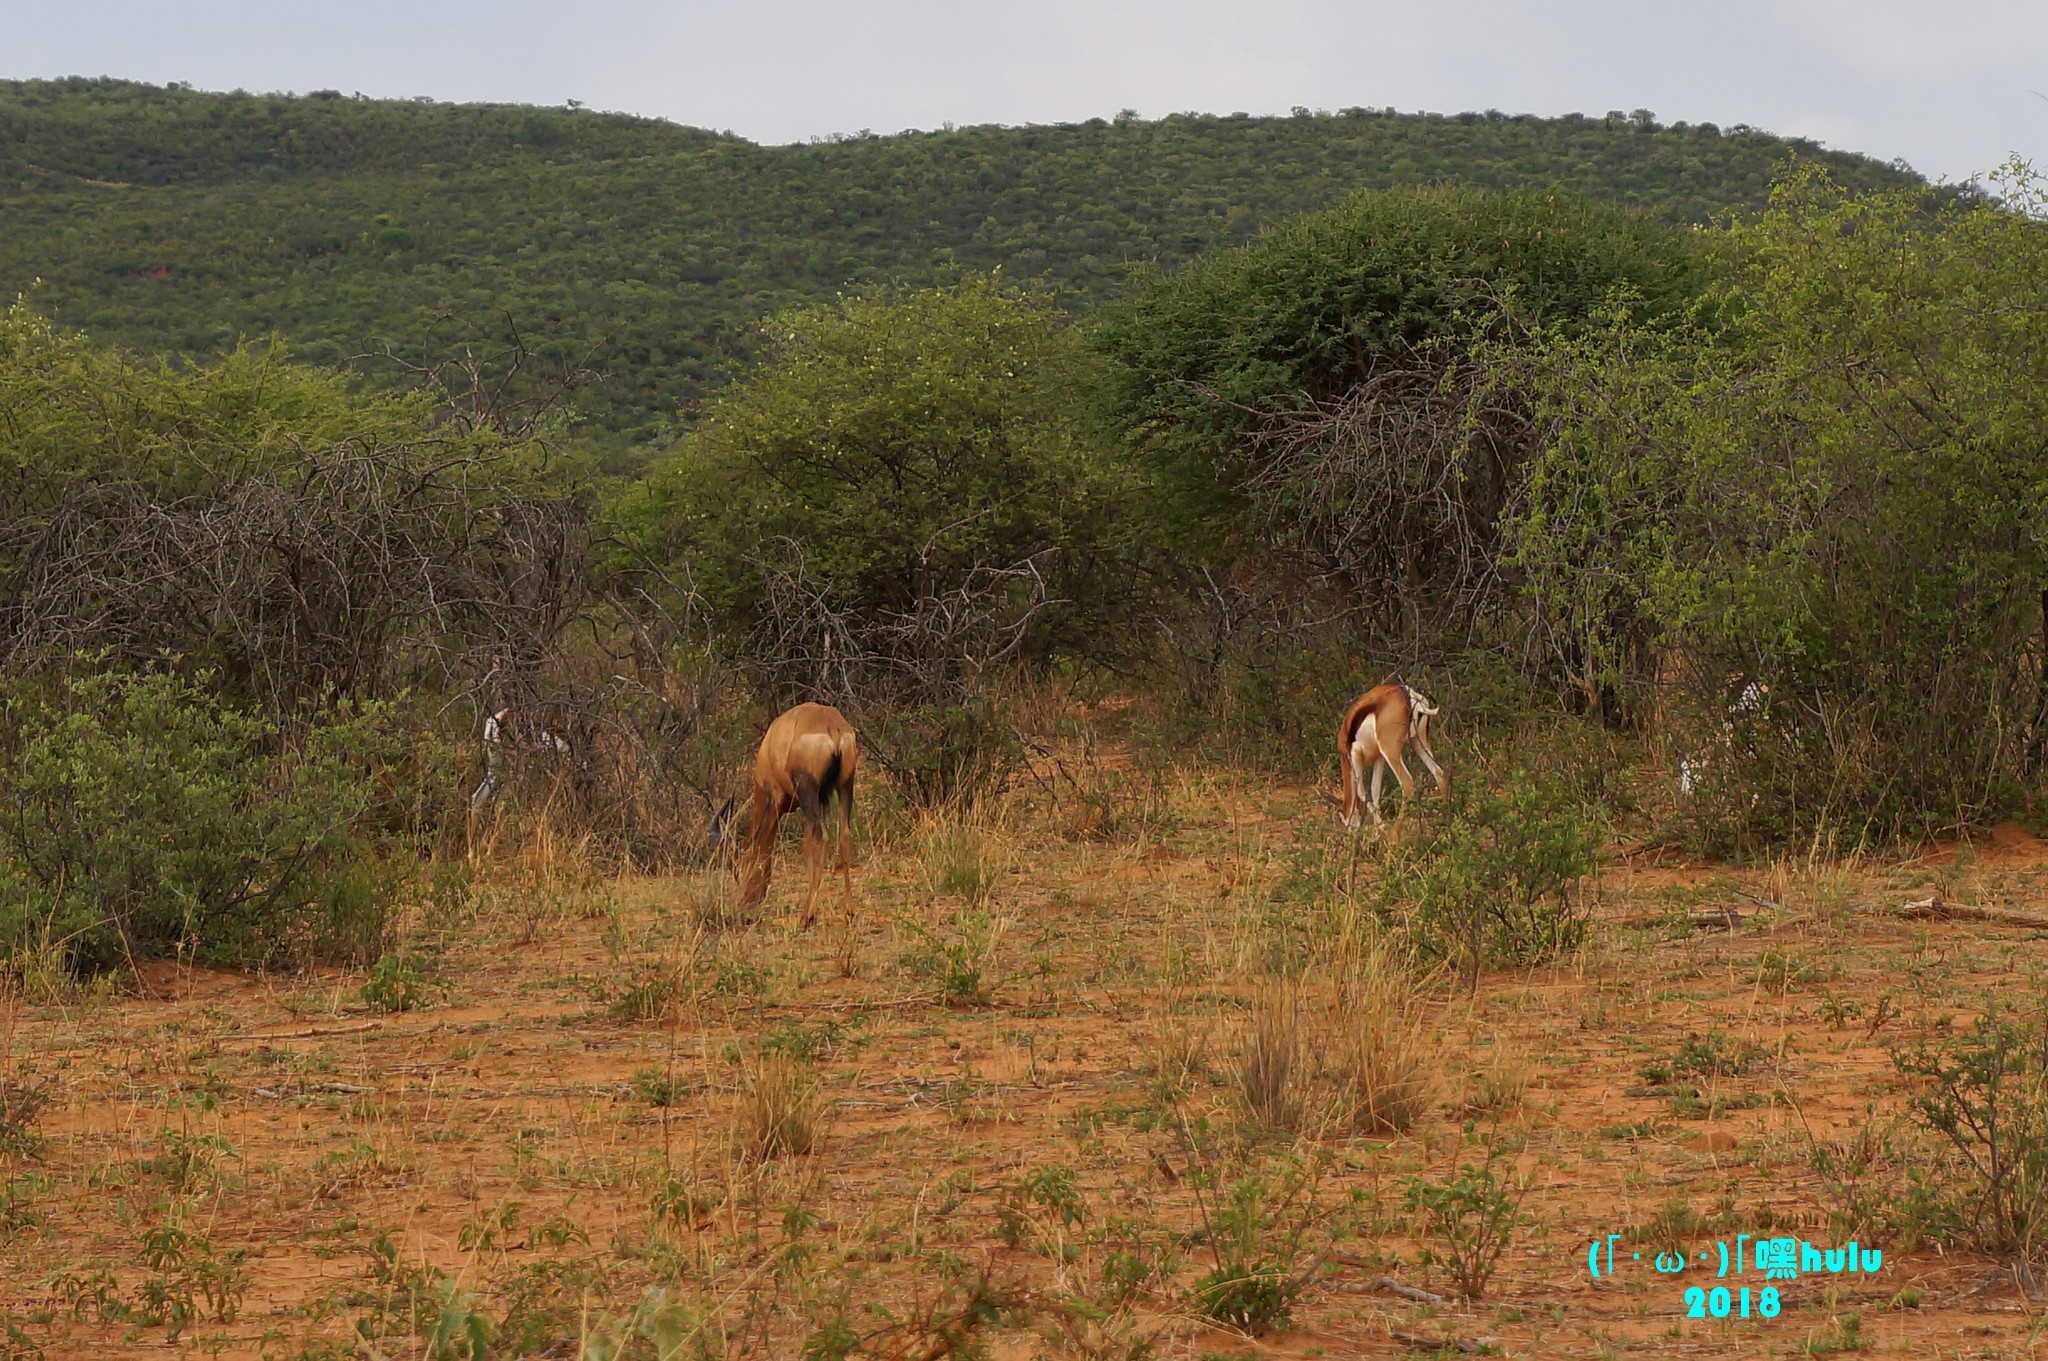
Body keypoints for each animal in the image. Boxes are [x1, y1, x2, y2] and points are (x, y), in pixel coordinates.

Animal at [737, 699, 856, 925]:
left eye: (743, 863)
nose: (745, 903)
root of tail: (833, 727)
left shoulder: (777, 798)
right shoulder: (820, 800)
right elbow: (807, 845)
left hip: (808, 788)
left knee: (822, 837)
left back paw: (806, 917)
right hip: (845, 784)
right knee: (844, 834)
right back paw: (849, 912)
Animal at [1335, 679, 1449, 826]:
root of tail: (1407, 693)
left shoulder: (1354, 755)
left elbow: (1361, 792)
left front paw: (1381, 826)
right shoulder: (1379, 757)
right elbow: (1375, 790)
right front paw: (1378, 827)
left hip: (1391, 750)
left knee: (1407, 784)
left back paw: (1395, 832)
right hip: (1417, 742)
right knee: (1438, 771)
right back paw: (1445, 818)